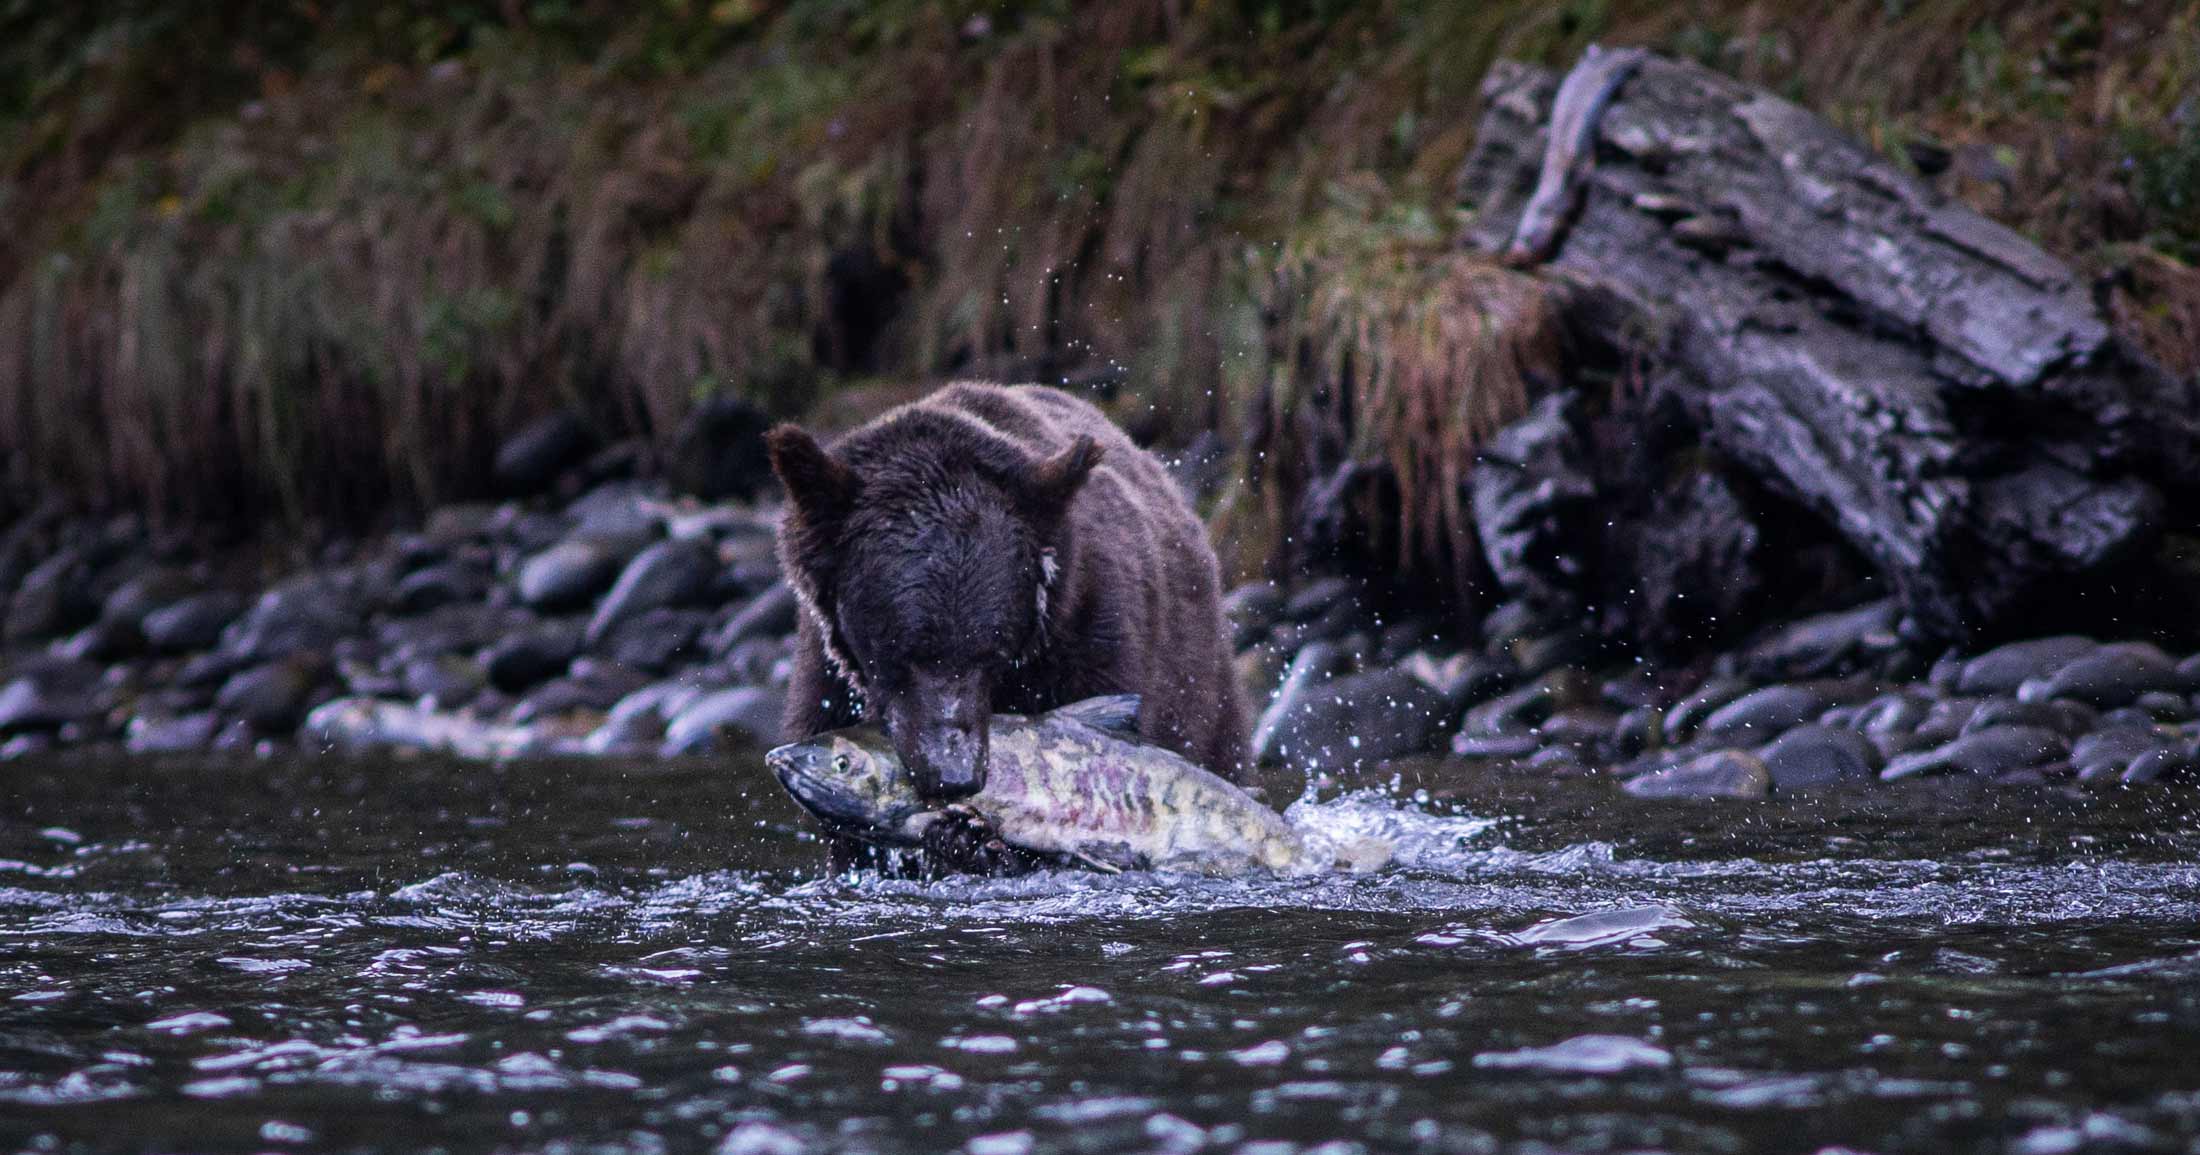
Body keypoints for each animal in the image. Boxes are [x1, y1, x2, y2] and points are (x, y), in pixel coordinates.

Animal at [767, 382, 1247, 868]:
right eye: (899, 652)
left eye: (992, 653)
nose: (954, 776)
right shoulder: (826, 681)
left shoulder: (1093, 640)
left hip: (1202, 688)